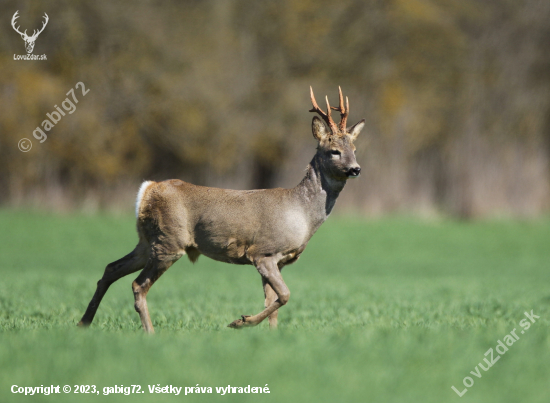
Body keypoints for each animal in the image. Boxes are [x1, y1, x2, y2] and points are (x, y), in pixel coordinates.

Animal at [76, 88, 362, 334]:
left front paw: (267, 333)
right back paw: (150, 332)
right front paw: (240, 322)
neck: (301, 212)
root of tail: (148, 189)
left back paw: (84, 322)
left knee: (111, 268)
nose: (356, 169)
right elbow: (284, 295)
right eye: (334, 151)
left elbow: (274, 304)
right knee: (138, 284)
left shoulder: (279, 261)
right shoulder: (263, 252)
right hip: (169, 242)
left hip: (147, 241)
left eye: (354, 149)